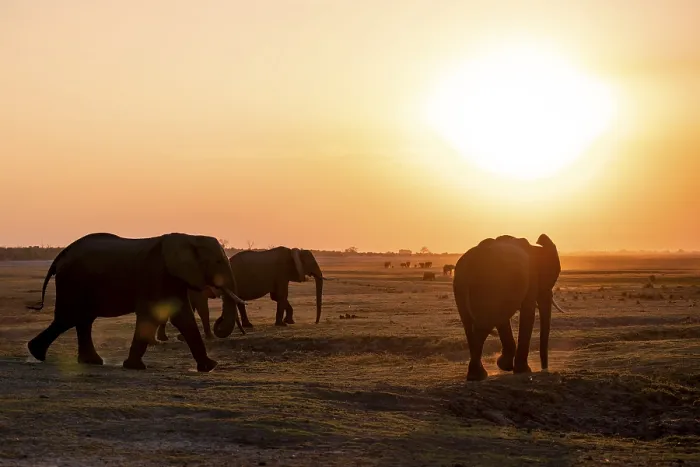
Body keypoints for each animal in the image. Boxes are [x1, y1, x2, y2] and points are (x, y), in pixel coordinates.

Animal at [26, 232, 245, 372]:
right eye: (218, 262)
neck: (189, 237)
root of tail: (60, 256)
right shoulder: (155, 274)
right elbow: (150, 314)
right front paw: (135, 367)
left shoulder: (173, 278)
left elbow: (183, 318)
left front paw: (210, 367)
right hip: (73, 281)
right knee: (69, 317)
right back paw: (36, 353)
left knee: (82, 320)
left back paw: (89, 362)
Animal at [452, 234, 565, 381]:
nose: (544, 370)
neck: (534, 249)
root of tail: (468, 269)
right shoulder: (531, 278)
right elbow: (528, 312)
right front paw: (522, 370)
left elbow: (503, 319)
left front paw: (505, 366)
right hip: (486, 286)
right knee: (482, 327)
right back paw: (477, 376)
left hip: (461, 288)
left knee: (470, 325)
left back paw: (476, 375)